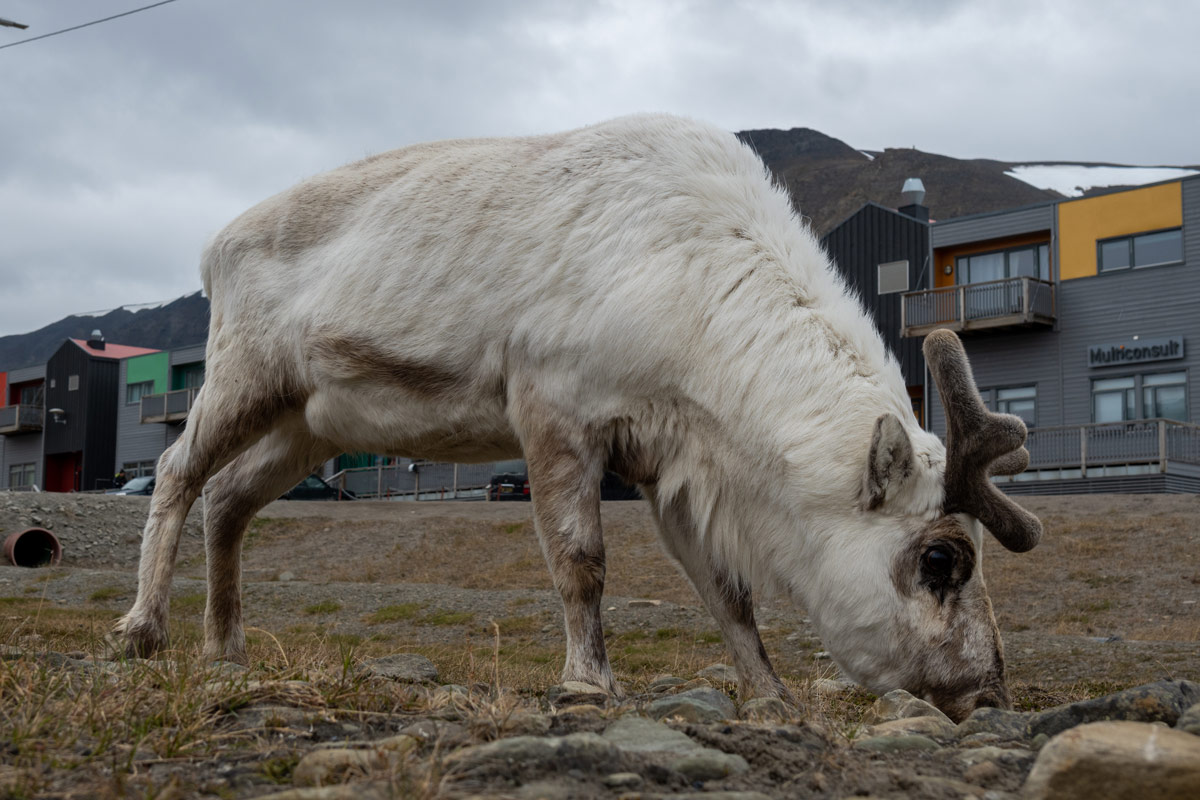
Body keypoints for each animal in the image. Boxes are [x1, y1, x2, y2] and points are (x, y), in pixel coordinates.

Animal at [113, 113, 1041, 722]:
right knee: (176, 472)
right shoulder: (554, 411)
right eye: (942, 560)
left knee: (230, 499)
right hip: (244, 375)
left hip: (311, 423)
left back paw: (225, 650)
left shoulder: (669, 459)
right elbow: (581, 561)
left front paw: (772, 699)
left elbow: (728, 591)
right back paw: (142, 632)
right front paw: (589, 683)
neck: (694, 287)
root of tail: (214, 247)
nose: (987, 692)